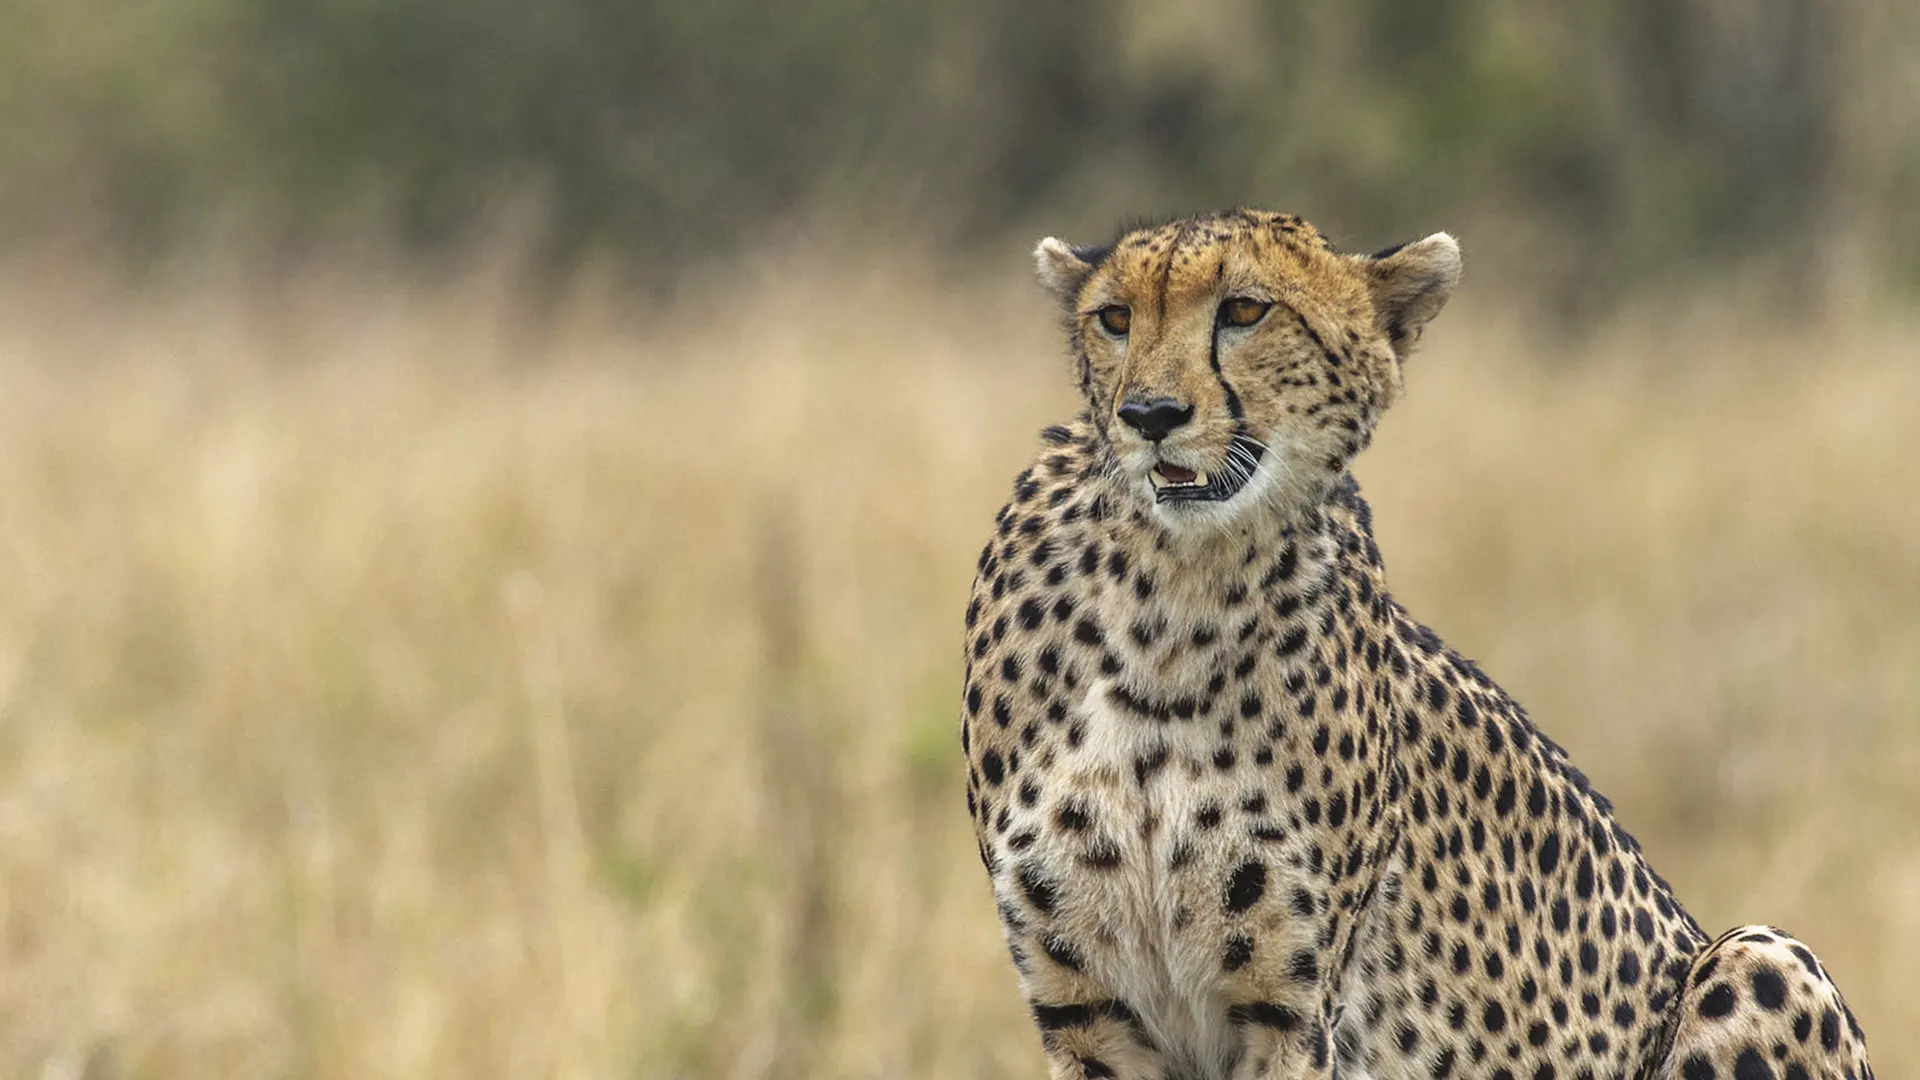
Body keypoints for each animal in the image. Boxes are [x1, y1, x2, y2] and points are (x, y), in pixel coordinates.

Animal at [958, 209, 1874, 1080]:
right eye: (1114, 319)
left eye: (1245, 310)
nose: (1150, 416)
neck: (1170, 600)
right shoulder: (1091, 1015)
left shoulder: (1289, 1015)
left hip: (1765, 956)